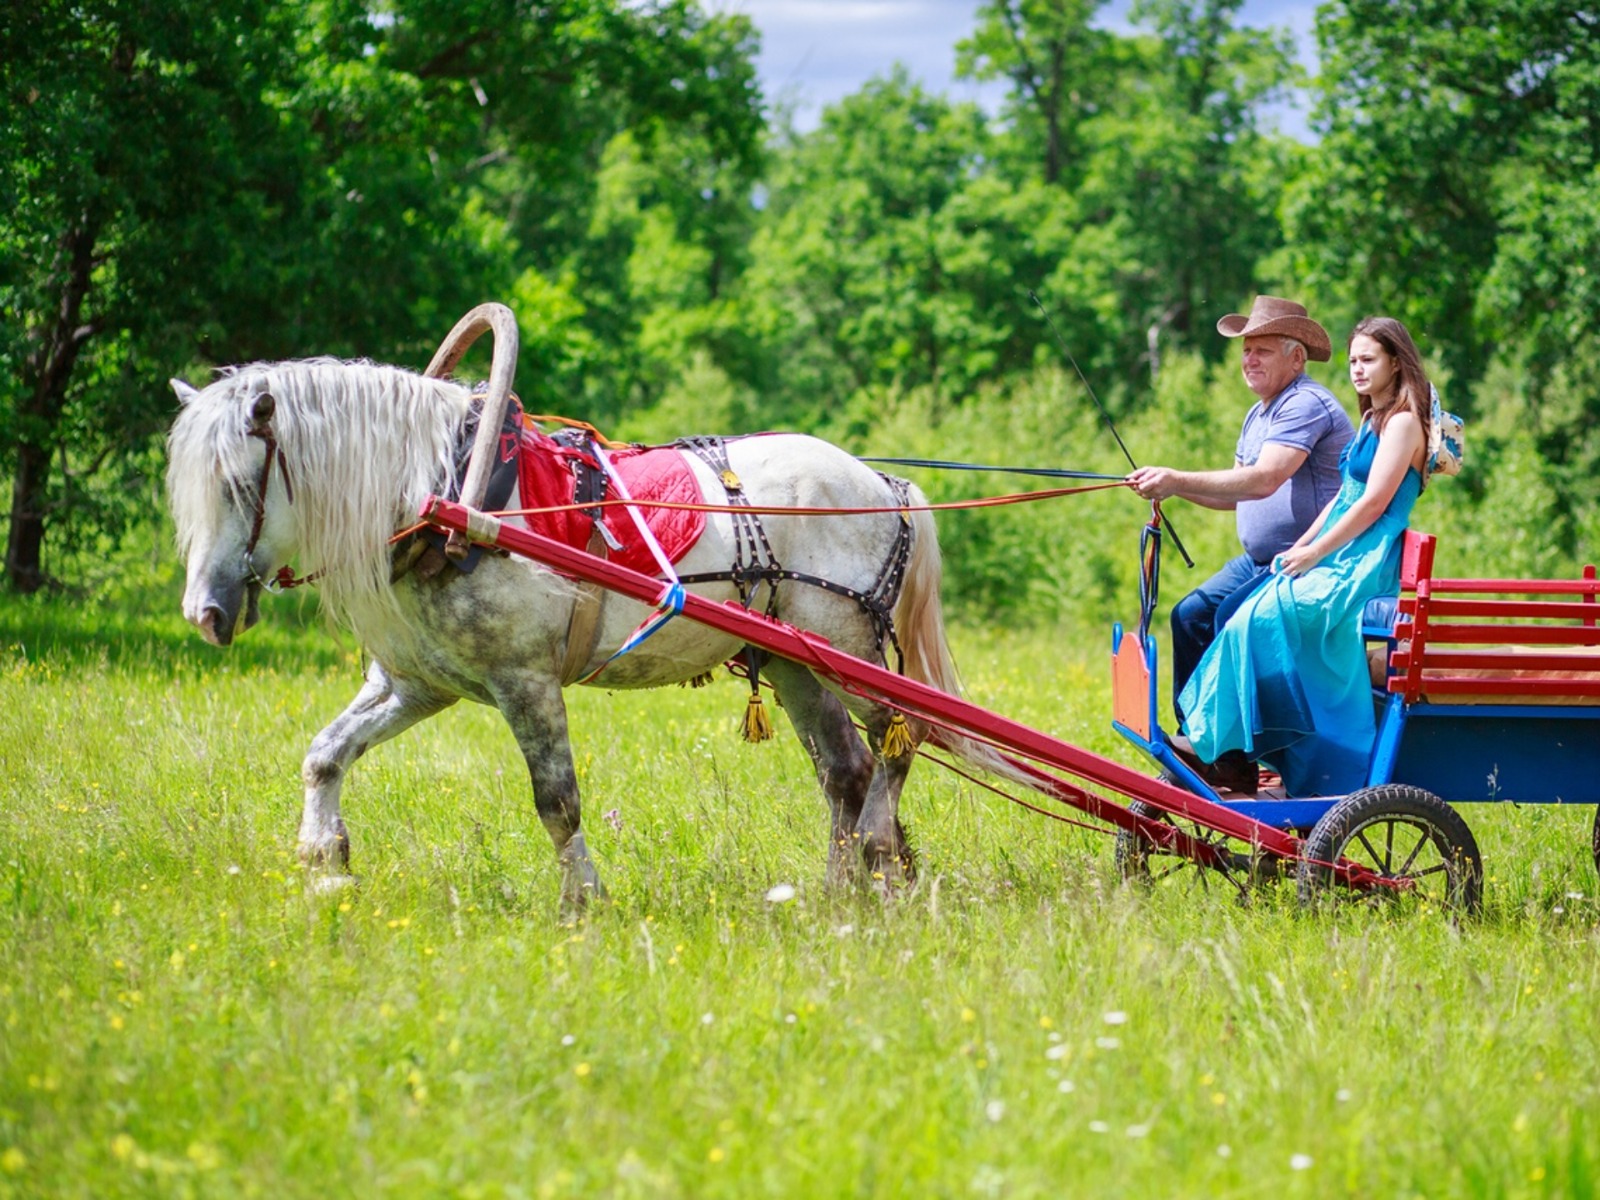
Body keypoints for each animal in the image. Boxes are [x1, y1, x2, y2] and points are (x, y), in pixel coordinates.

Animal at [168, 356, 979, 908]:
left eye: (238, 487)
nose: (205, 615)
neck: (452, 498)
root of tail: (884, 484)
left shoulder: (524, 681)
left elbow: (556, 801)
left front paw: (583, 902)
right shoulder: (417, 685)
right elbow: (324, 755)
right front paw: (325, 860)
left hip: (847, 648)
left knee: (898, 736)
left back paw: (879, 852)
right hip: (794, 662)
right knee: (845, 768)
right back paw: (838, 895)